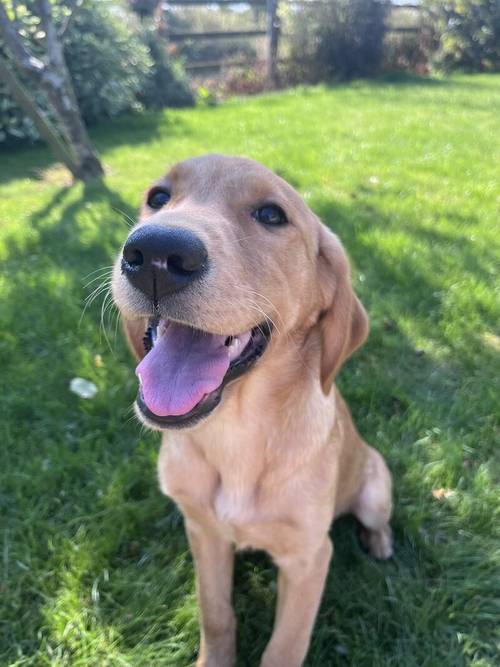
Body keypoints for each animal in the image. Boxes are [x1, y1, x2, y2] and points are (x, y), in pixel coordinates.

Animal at [113, 155, 394, 667]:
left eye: (270, 215)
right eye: (158, 197)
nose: (156, 254)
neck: (236, 433)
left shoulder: (308, 559)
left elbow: (284, 646)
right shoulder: (203, 533)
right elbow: (216, 615)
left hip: (375, 487)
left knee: (376, 518)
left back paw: (379, 542)